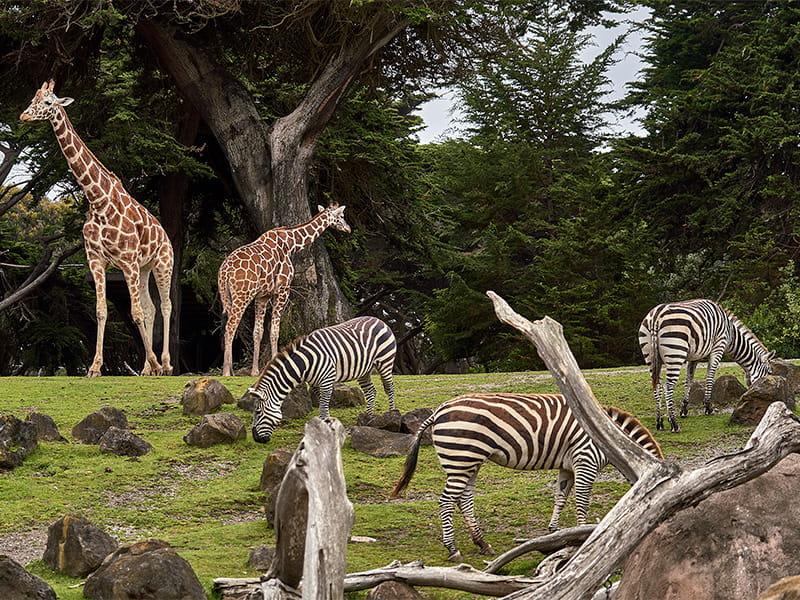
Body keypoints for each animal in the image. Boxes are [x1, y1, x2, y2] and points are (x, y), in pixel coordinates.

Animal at [19, 81, 173, 378]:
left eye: (48, 103)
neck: (97, 199)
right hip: (145, 267)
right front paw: (94, 367)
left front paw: (153, 361)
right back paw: (148, 369)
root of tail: (165, 234)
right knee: (150, 307)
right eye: (33, 98)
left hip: (162, 263)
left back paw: (165, 363)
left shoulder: (127, 261)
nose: (23, 116)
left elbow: (136, 312)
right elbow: (103, 310)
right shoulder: (96, 259)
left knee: (165, 305)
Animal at [222, 204, 354, 378]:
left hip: (228, 297)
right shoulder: (283, 289)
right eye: (341, 216)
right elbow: (274, 330)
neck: (291, 244)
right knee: (230, 327)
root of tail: (224, 271)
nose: (348, 228)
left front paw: (255, 371)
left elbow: (258, 332)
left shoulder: (263, 296)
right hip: (242, 295)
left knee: (228, 327)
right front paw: (274, 364)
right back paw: (226, 372)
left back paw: (230, 369)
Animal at [244, 316, 394, 442]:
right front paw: (325, 424)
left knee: (390, 387)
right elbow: (323, 407)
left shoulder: (326, 381)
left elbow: (322, 407)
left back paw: (392, 415)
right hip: (364, 370)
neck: (304, 364)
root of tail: (378, 319)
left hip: (385, 361)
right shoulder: (314, 384)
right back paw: (367, 418)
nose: (256, 439)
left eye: (257, 412)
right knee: (371, 391)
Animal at [390, 394, 664, 564]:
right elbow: (582, 502)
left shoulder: (568, 466)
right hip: (461, 457)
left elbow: (561, 496)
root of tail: (439, 409)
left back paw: (482, 543)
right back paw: (453, 549)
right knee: (446, 501)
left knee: (464, 500)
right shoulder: (585, 461)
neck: (610, 439)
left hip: (468, 461)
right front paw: (584, 535)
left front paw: (555, 531)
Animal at [636, 298, 776, 432]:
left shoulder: (694, 357)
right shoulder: (718, 348)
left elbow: (689, 380)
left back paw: (659, 422)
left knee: (657, 386)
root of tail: (655, 316)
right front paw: (708, 407)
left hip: (650, 355)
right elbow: (710, 378)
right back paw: (674, 423)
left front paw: (684, 409)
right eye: (769, 373)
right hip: (675, 351)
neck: (731, 334)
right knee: (668, 386)